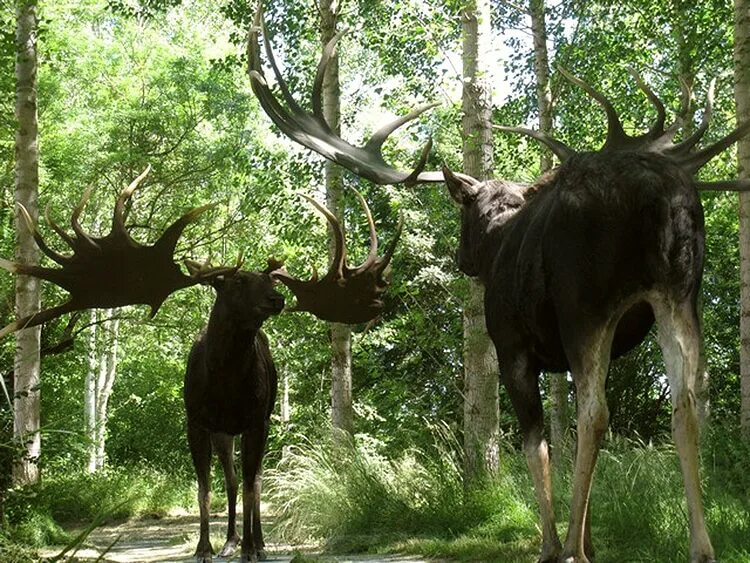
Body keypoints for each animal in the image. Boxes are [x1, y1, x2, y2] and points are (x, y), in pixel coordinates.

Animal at [250, 8, 750, 563]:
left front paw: (555, 543)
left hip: (587, 305)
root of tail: (659, 196)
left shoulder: (514, 347)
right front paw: (589, 538)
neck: (498, 242)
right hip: (679, 293)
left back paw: (572, 548)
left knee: (596, 414)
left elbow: (537, 442)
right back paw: (701, 545)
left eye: (464, 215)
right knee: (685, 404)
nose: (463, 257)